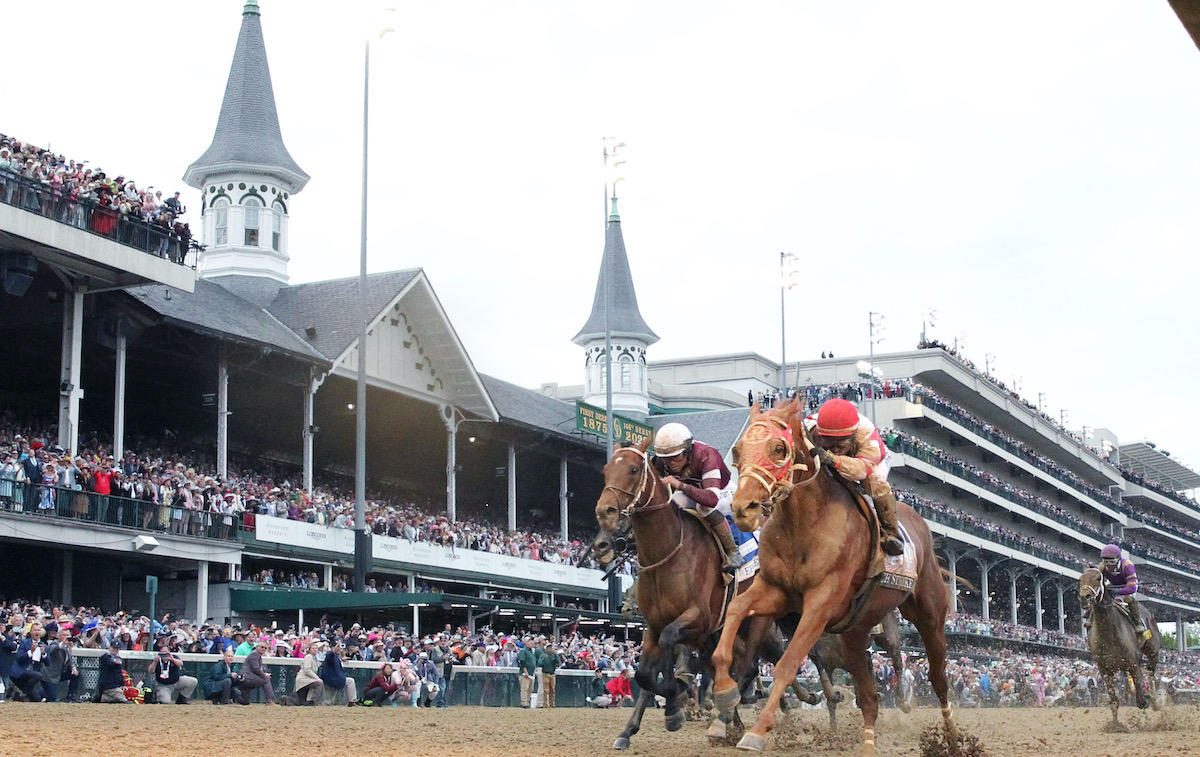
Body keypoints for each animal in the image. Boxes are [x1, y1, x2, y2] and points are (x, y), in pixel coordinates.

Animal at [710, 400, 955, 753]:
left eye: (779, 448)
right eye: (738, 450)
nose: (744, 508)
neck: (802, 525)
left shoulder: (820, 603)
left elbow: (788, 663)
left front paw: (756, 731)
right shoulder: (776, 591)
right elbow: (735, 611)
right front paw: (724, 691)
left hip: (929, 616)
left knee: (937, 678)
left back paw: (952, 738)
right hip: (855, 632)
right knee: (870, 698)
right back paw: (869, 744)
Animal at [1080, 566, 1161, 724]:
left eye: (1098, 578)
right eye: (1080, 579)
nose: (1084, 597)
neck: (1109, 633)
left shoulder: (1133, 663)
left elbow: (1141, 700)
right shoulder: (1104, 669)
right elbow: (1114, 701)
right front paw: (1115, 725)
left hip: (1153, 651)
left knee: (1151, 672)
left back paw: (1155, 702)